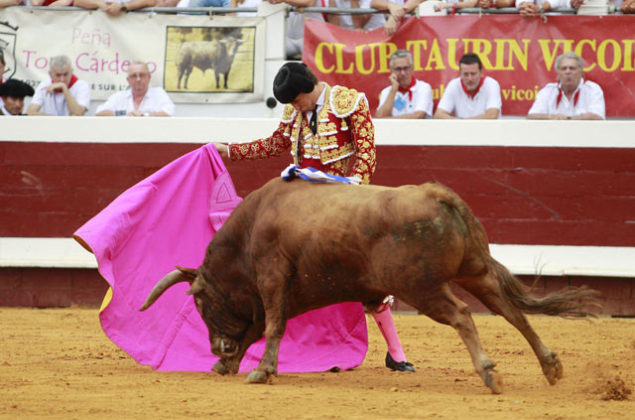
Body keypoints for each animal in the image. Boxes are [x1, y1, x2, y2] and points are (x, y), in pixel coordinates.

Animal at [140, 178, 600, 394]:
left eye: (202, 305)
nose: (218, 348)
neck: (251, 227)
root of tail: (438, 194)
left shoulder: (271, 278)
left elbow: (270, 325)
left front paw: (259, 371)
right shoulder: (280, 291)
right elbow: (262, 326)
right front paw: (233, 366)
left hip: (421, 287)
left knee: (463, 315)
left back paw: (489, 373)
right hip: (475, 271)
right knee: (510, 310)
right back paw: (550, 365)